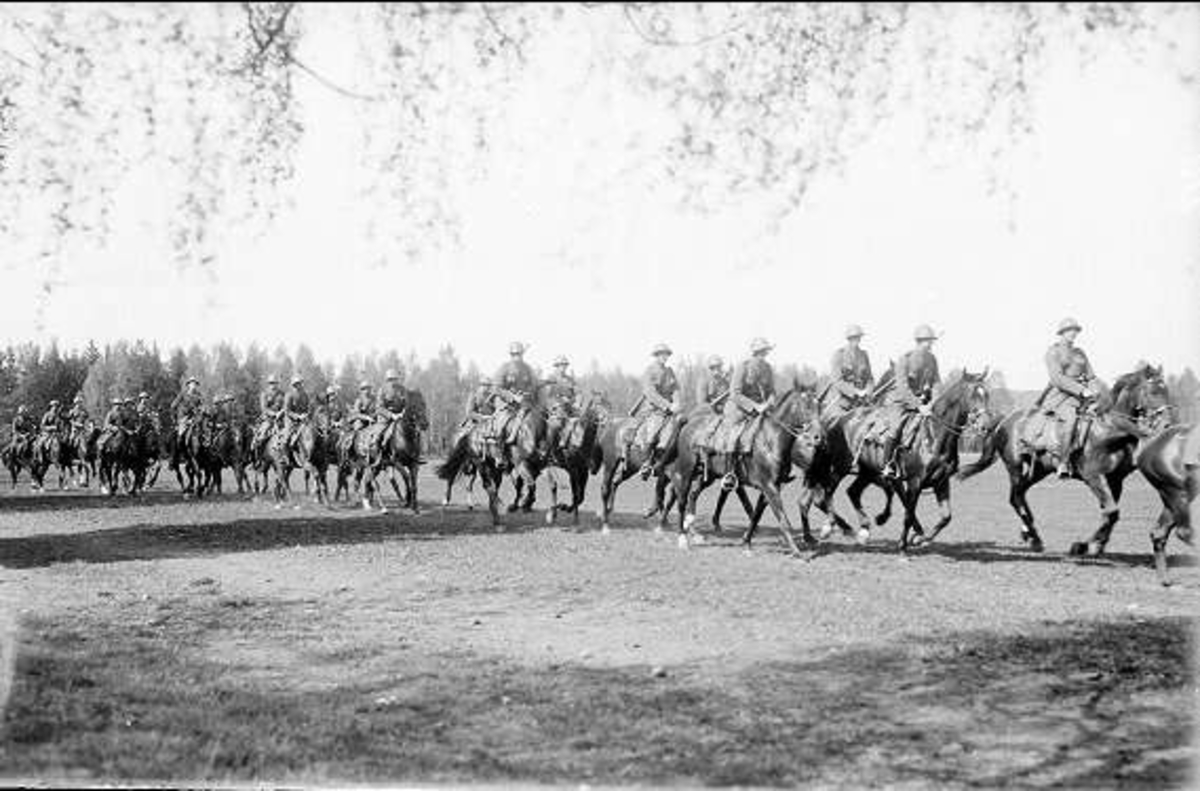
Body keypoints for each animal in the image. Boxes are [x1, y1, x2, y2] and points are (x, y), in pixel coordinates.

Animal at [667, 381, 825, 554]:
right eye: (805, 407)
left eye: (819, 407)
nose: (819, 437)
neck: (770, 441)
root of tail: (689, 423)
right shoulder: (769, 486)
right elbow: (782, 518)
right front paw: (797, 551)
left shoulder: (770, 487)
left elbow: (756, 514)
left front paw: (746, 542)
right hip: (686, 472)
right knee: (681, 500)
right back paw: (683, 538)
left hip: (707, 476)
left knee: (693, 495)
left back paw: (693, 531)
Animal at [955, 364, 1171, 556]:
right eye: (1153, 391)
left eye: (1166, 389)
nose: (1167, 424)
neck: (1109, 430)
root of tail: (1002, 422)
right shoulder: (1094, 477)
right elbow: (1111, 512)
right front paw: (1084, 546)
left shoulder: (1116, 480)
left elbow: (1109, 514)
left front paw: (1096, 545)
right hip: (1015, 468)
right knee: (1015, 497)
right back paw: (1034, 538)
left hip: (1038, 471)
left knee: (1020, 495)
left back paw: (1029, 533)